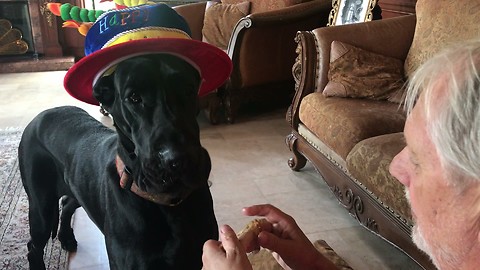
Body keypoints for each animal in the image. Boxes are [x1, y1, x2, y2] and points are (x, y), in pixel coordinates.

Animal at [18, 53, 218, 268]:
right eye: (134, 97)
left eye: (188, 89)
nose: (177, 159)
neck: (169, 204)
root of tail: (39, 117)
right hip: (42, 208)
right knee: (34, 247)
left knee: (67, 203)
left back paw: (66, 237)